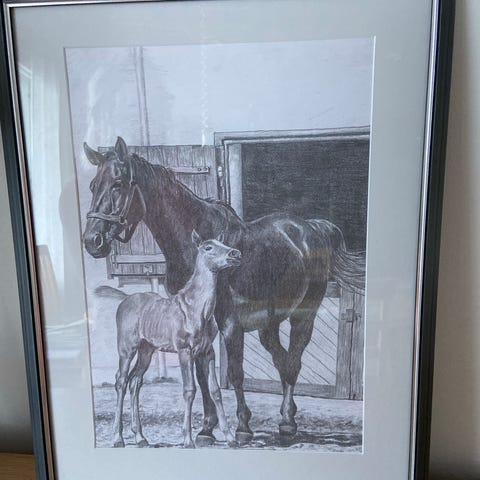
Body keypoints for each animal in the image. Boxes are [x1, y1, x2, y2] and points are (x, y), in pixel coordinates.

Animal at [96, 230, 241, 448]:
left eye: (223, 243)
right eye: (208, 247)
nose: (236, 253)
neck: (197, 310)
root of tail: (124, 300)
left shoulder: (208, 352)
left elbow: (215, 390)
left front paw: (231, 438)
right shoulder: (184, 350)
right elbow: (189, 390)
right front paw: (187, 439)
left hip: (146, 350)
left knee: (135, 381)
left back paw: (140, 437)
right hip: (126, 349)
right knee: (121, 381)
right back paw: (117, 438)